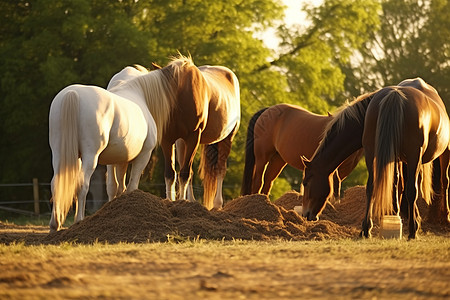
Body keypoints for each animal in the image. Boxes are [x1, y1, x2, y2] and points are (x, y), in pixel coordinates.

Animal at [48, 65, 157, 232]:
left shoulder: (117, 159)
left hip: (59, 153)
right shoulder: (143, 155)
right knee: (82, 184)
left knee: (56, 183)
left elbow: (115, 186)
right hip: (90, 156)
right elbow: (130, 186)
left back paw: (55, 225)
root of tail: (72, 94)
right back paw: (78, 220)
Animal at [129, 54, 239, 209]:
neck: (182, 97)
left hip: (227, 138)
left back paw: (217, 204)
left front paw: (181, 201)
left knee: (220, 169)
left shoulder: (193, 137)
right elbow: (171, 173)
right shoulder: (168, 140)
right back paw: (191, 200)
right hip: (181, 143)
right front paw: (171, 201)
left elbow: (185, 173)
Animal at [302, 77, 450, 239]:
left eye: (306, 183)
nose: (306, 214)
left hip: (436, 154)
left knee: (442, 182)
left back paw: (438, 219)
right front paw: (395, 215)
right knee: (398, 186)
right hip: (401, 156)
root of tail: (395, 96)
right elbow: (396, 184)